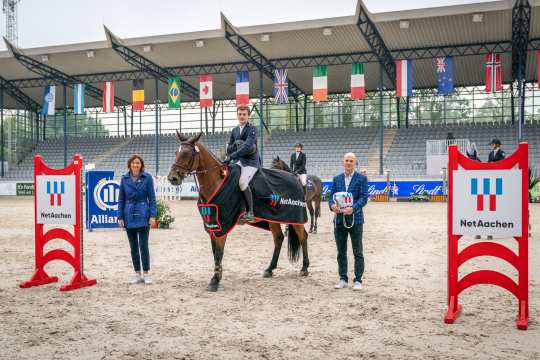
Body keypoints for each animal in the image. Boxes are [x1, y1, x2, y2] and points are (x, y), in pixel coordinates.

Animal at [168, 132, 308, 292]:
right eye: (176, 152)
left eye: (187, 153)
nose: (172, 178)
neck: (216, 181)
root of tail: (295, 178)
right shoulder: (212, 225)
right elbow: (214, 252)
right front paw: (218, 276)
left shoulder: (222, 224)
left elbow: (219, 252)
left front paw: (214, 280)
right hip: (273, 218)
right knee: (278, 238)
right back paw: (270, 269)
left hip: (295, 219)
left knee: (303, 236)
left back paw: (304, 268)